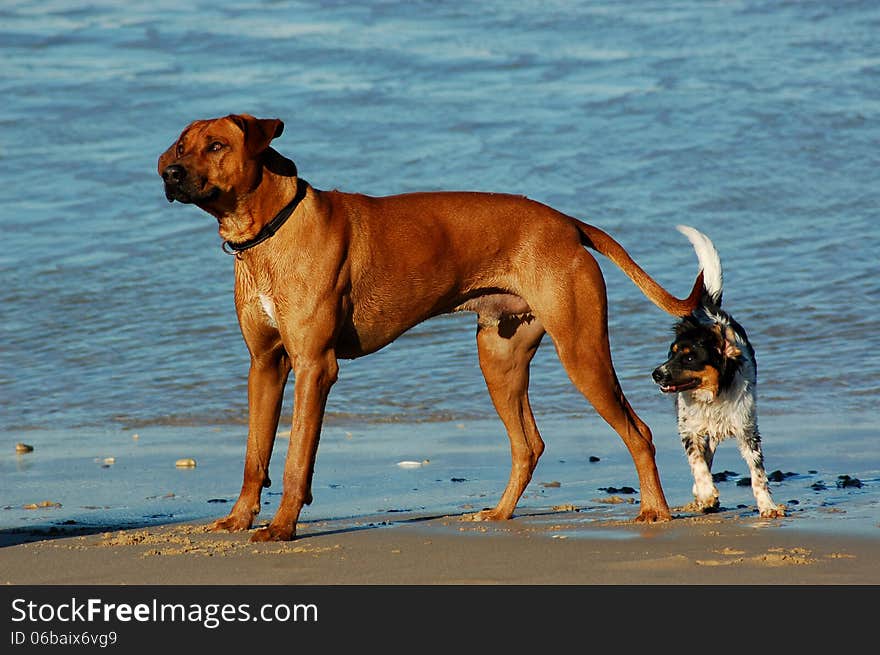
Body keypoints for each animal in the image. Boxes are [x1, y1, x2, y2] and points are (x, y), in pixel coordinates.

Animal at [158, 114, 700, 544]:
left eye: (216, 146)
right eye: (182, 147)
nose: (169, 173)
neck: (271, 232)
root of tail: (566, 222)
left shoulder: (315, 367)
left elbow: (295, 460)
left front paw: (282, 527)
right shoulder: (265, 365)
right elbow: (255, 454)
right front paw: (239, 519)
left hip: (582, 351)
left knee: (638, 431)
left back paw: (655, 511)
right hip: (498, 358)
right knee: (528, 445)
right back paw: (499, 514)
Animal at [652, 228, 784, 520]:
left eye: (689, 357)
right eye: (671, 353)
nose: (656, 374)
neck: (711, 396)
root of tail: (707, 307)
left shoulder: (747, 429)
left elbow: (758, 474)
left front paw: (767, 506)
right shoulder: (688, 428)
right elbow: (697, 462)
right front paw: (706, 494)